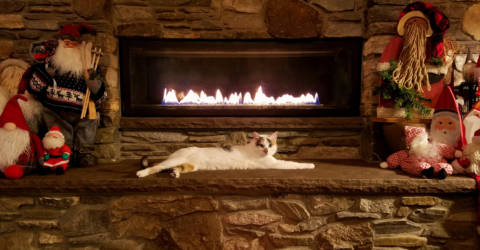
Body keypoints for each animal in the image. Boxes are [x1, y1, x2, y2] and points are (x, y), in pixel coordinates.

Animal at [136, 131, 316, 178]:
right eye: (261, 145)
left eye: (270, 145)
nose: (266, 150)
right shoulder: (274, 164)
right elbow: (293, 164)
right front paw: (311, 164)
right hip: (175, 159)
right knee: (156, 166)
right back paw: (141, 173)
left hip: (191, 166)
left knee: (174, 168)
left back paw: (175, 173)